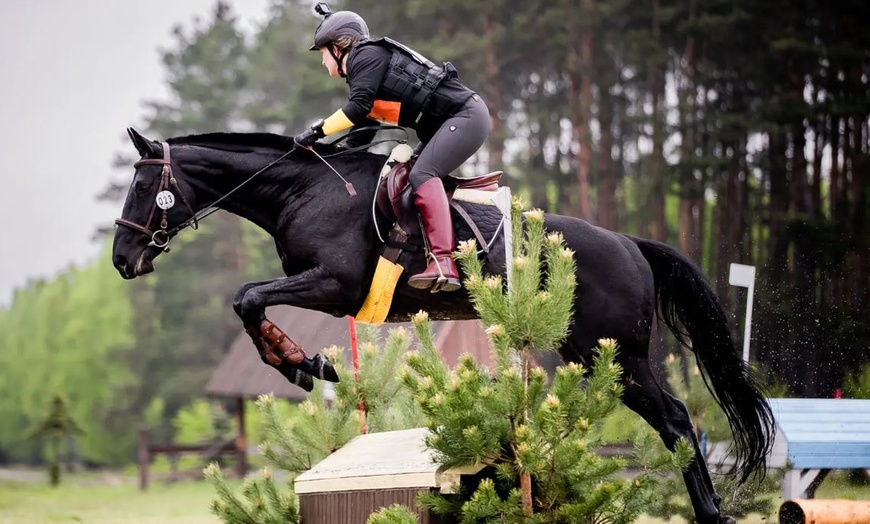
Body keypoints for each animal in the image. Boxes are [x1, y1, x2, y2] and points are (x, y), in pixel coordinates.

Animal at [112, 128, 772, 524]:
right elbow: (247, 301)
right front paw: (305, 362)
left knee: (677, 420)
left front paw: (302, 362)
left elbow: (248, 298)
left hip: (617, 355)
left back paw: (711, 512)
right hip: (596, 353)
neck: (306, 189)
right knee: (675, 420)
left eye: (144, 185)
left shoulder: (332, 283)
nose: (123, 260)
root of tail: (631, 244)